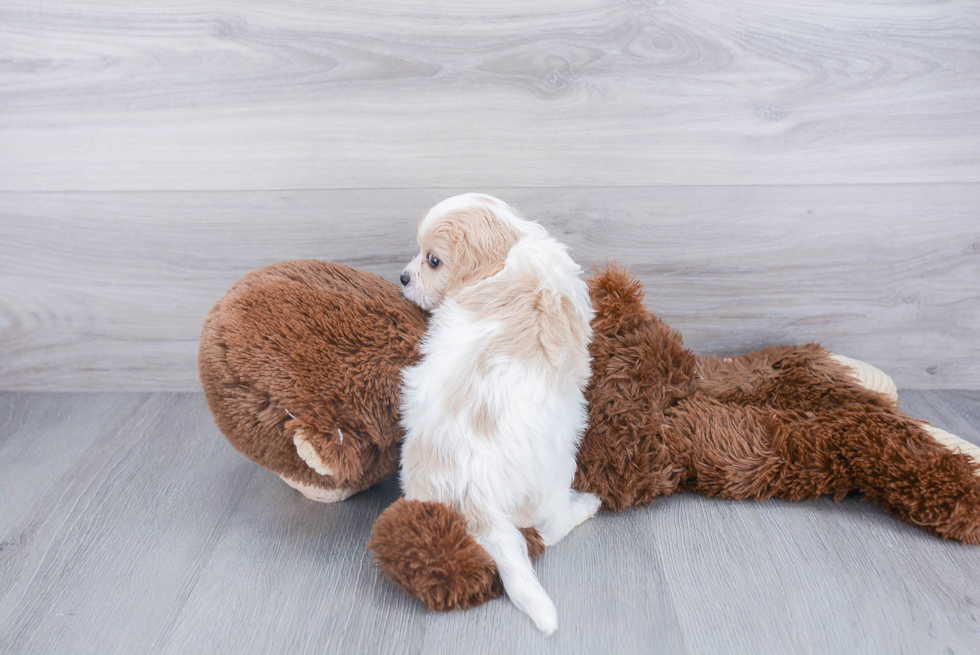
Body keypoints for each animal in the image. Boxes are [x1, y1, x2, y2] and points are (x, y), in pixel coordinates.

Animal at [396, 193, 596, 636]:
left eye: (433, 261)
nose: (402, 278)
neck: (510, 250)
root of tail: (473, 493)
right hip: (558, 469)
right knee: (548, 528)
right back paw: (585, 506)